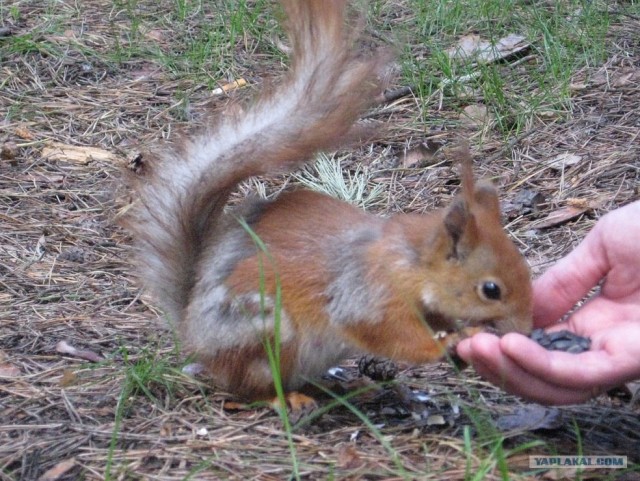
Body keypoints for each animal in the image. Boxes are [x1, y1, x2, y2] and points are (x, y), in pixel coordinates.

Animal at [124, 0, 528, 408]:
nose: (526, 326)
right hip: (261, 328)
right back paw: (286, 399)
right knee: (248, 387)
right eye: (491, 289)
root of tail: (194, 332)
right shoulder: (365, 297)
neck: (409, 262)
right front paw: (446, 343)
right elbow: (390, 334)